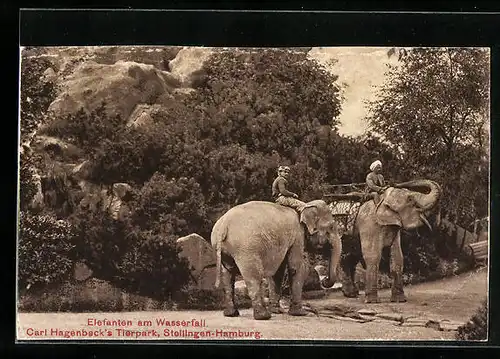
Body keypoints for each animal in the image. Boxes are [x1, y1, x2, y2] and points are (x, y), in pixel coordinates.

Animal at [209, 200, 342, 320]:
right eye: (331, 227)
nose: (324, 280)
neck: (304, 206)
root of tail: (223, 226)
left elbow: (278, 271)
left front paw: (277, 311)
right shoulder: (297, 236)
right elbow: (296, 268)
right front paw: (300, 313)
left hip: (223, 248)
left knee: (227, 275)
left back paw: (231, 314)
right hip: (246, 250)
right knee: (254, 277)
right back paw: (263, 316)